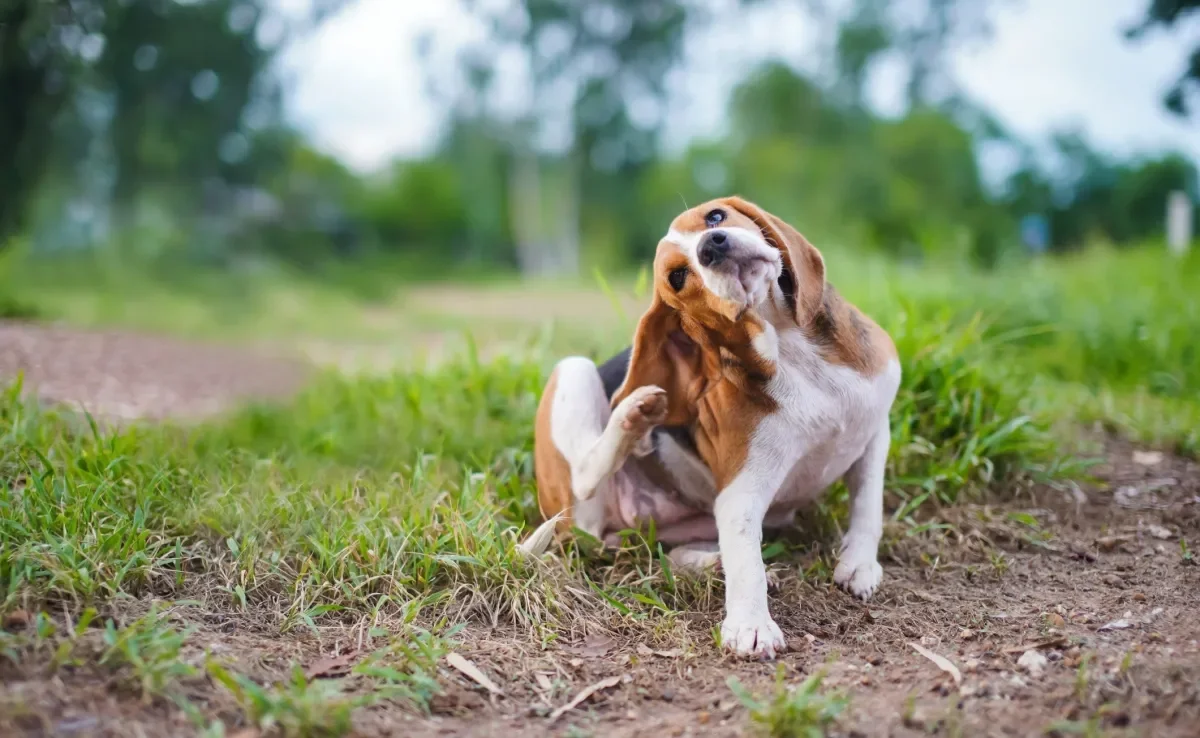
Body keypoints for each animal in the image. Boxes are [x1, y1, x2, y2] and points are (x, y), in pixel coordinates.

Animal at [528, 194, 902, 657]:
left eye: (715, 217)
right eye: (677, 276)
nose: (713, 246)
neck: (790, 350)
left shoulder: (874, 429)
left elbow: (868, 504)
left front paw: (859, 563)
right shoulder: (740, 492)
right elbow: (747, 562)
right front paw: (750, 624)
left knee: (672, 555)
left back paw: (709, 560)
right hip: (575, 377)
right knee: (584, 474)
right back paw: (633, 418)